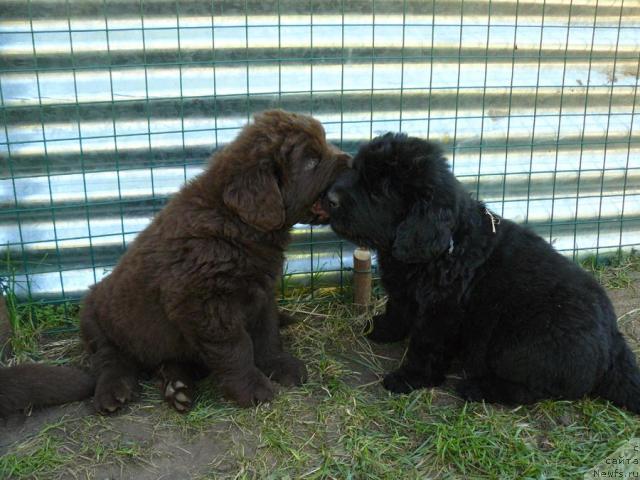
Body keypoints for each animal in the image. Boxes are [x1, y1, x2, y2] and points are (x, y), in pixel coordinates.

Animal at [1, 110, 350, 414]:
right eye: (311, 160)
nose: (349, 160)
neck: (236, 223)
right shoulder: (205, 304)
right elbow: (237, 346)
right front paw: (252, 388)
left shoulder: (261, 293)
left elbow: (266, 335)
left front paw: (280, 366)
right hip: (97, 320)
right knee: (110, 359)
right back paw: (115, 390)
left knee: (170, 361)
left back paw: (177, 386)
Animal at [322, 132, 640, 412]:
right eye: (355, 169)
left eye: (377, 192)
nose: (330, 198)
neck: (447, 244)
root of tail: (614, 345)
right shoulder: (405, 292)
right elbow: (397, 310)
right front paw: (381, 329)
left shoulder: (441, 312)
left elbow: (425, 347)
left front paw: (409, 378)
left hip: (518, 346)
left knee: (533, 390)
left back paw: (476, 388)